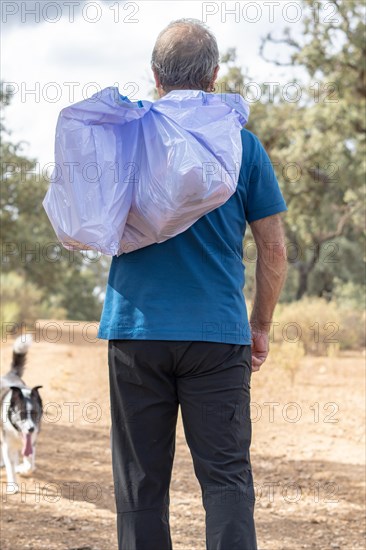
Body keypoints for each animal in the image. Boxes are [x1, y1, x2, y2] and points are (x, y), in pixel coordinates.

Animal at [0, 336, 43, 488]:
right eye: (22, 414)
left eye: (35, 413)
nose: (31, 429)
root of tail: (10, 374)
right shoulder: (8, 446)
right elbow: (10, 466)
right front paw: (13, 486)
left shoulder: (32, 442)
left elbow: (30, 464)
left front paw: (22, 469)